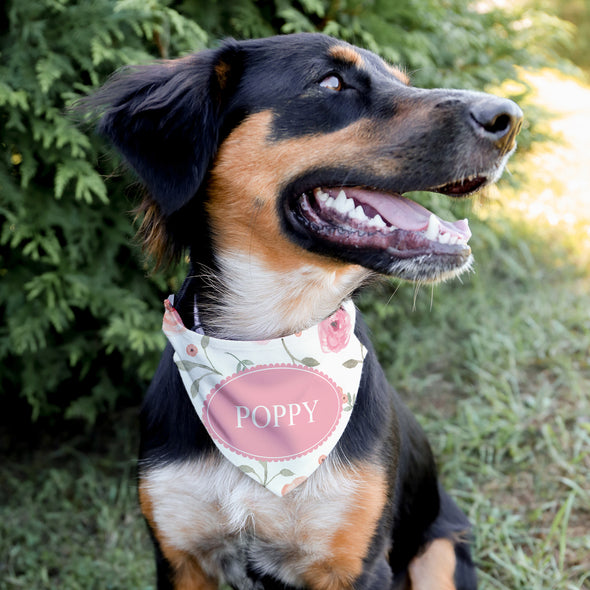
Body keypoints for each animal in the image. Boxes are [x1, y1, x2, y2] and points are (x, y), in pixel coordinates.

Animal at [88, 33, 524, 590]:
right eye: (331, 82)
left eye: (402, 82)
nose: (510, 118)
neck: (269, 348)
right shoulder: (180, 557)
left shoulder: (357, 564)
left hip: (440, 551)